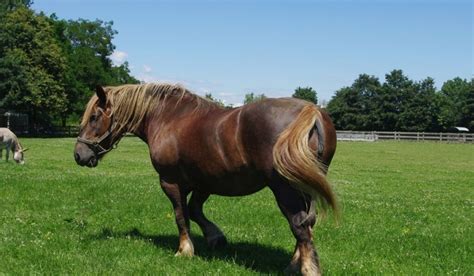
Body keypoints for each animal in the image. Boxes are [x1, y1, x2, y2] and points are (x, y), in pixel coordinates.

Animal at [74, 84, 338, 276]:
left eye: (94, 117)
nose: (78, 154)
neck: (168, 118)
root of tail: (311, 112)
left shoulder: (170, 182)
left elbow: (181, 216)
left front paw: (184, 250)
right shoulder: (204, 182)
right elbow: (195, 211)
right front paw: (216, 238)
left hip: (285, 191)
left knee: (300, 226)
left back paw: (307, 269)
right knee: (305, 226)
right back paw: (293, 265)